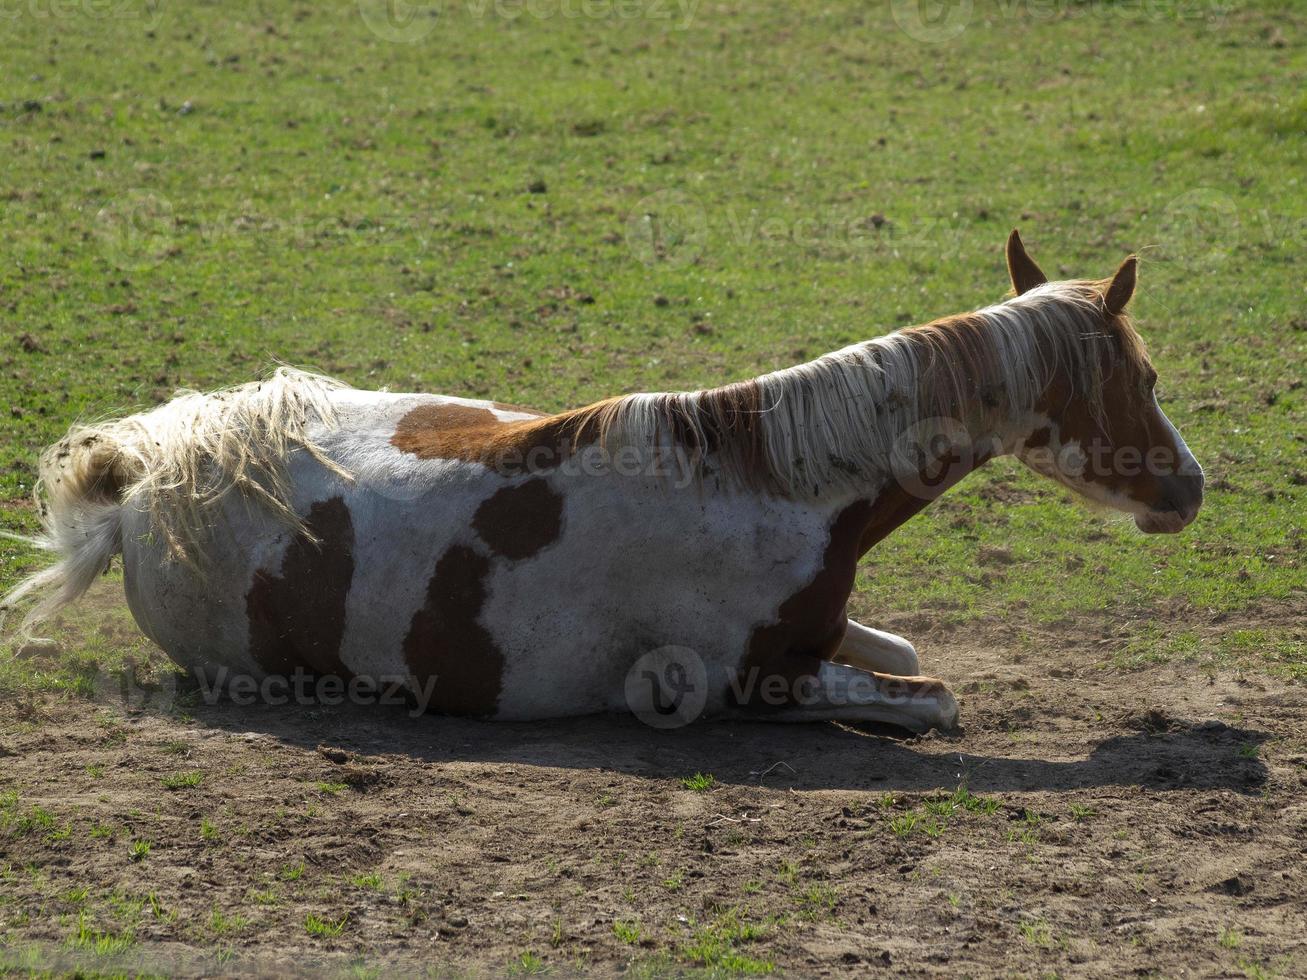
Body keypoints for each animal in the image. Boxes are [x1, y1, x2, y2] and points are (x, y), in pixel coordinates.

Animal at [0, 233, 1202, 731]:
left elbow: (902, 649)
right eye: (1141, 377)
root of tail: (143, 487)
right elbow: (936, 696)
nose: (1188, 488)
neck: (774, 485)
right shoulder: (757, 679)